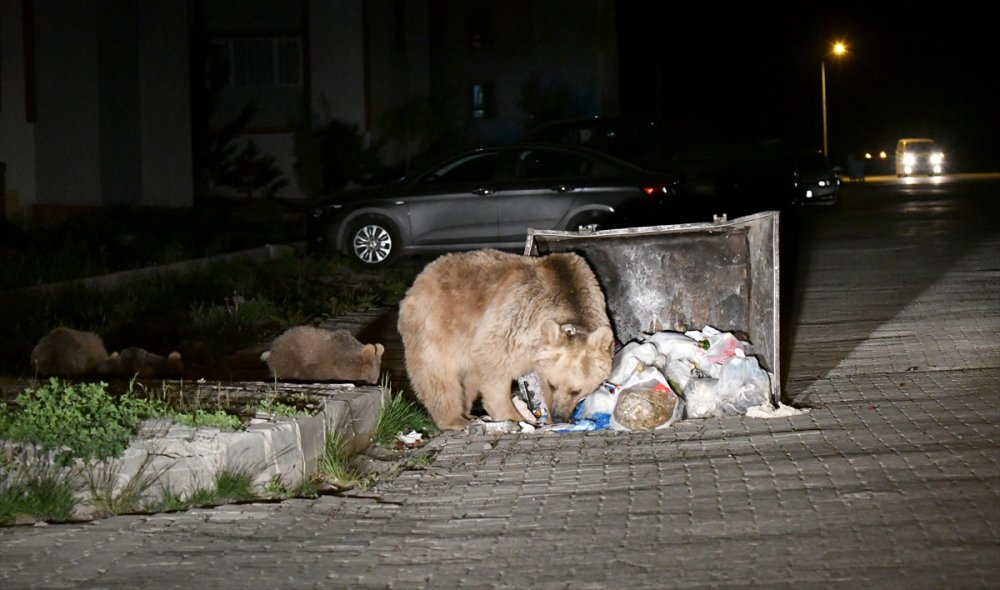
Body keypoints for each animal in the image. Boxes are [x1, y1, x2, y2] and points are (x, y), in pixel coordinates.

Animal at [394, 247, 612, 432]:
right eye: (552, 384)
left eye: (577, 391)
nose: (559, 416)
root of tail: (421, 278)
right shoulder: (518, 318)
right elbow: (495, 363)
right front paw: (513, 416)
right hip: (436, 324)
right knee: (438, 374)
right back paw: (455, 419)